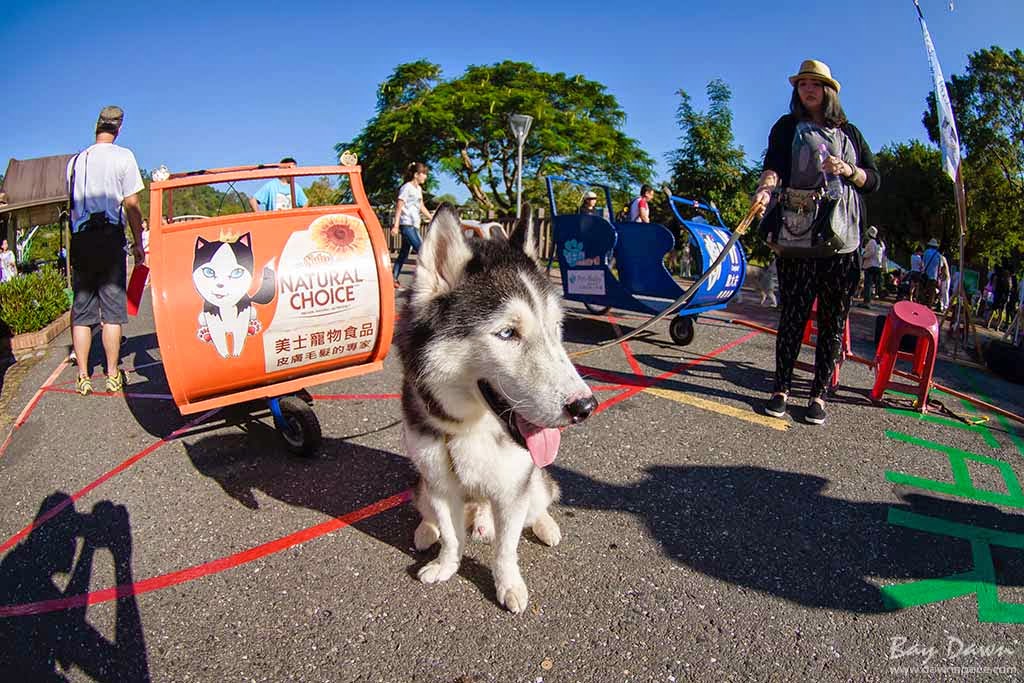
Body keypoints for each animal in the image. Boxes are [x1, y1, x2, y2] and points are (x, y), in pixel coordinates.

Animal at [393, 204, 598, 614]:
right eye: (507, 333)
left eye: (556, 328)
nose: (585, 406)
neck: (470, 429)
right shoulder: (439, 484)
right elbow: (452, 537)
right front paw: (446, 564)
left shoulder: (512, 489)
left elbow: (506, 549)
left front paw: (509, 585)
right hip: (421, 483)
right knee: (429, 512)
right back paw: (426, 531)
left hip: (535, 481)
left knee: (539, 503)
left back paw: (543, 526)